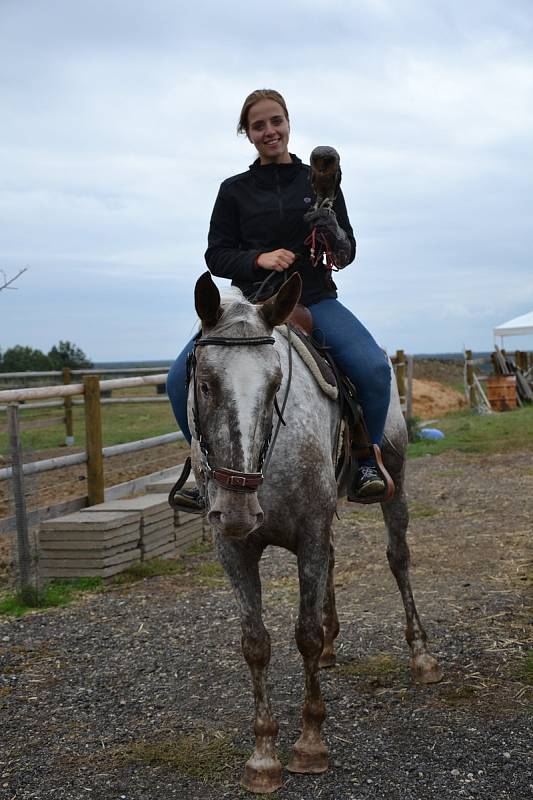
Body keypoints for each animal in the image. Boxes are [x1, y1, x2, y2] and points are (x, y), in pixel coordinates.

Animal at [187, 270, 440, 792]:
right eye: (205, 384)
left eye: (275, 385)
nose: (238, 510)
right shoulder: (233, 549)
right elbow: (255, 643)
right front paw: (263, 755)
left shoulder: (307, 533)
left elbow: (301, 633)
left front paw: (309, 743)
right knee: (334, 563)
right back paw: (330, 646)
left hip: (394, 481)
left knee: (398, 558)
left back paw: (421, 657)